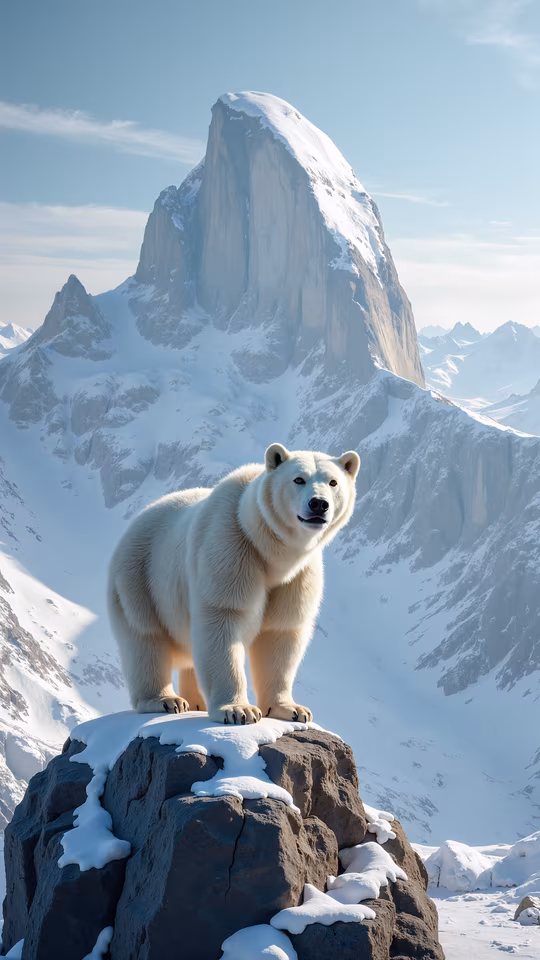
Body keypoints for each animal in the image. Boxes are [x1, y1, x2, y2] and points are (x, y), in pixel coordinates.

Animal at [107, 443, 360, 724]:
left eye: (333, 481)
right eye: (298, 479)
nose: (318, 504)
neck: (270, 551)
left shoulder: (297, 576)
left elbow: (281, 631)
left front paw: (292, 710)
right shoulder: (231, 548)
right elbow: (223, 617)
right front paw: (239, 710)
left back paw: (196, 702)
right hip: (140, 577)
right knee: (145, 638)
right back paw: (166, 700)